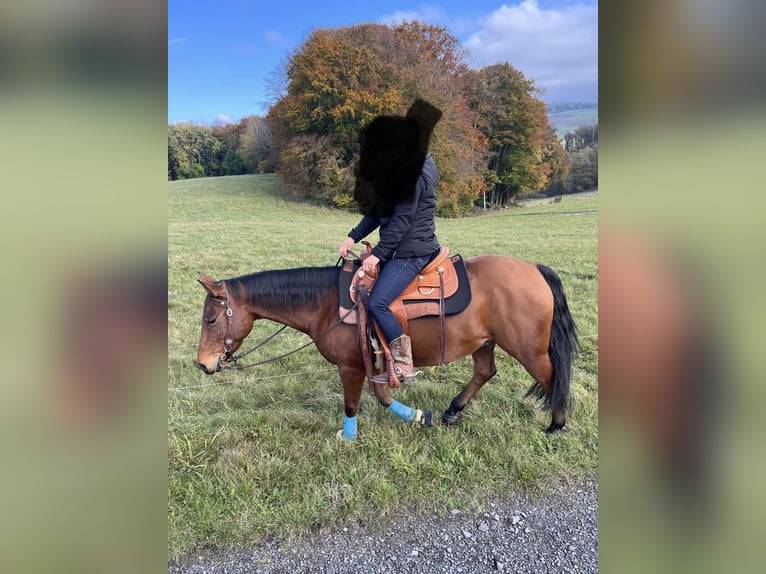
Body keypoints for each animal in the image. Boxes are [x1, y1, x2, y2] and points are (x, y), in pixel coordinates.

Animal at [196, 255, 578, 439]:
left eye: (210, 320)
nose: (202, 364)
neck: (325, 302)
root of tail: (534, 269)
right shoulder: (374, 362)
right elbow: (383, 397)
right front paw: (420, 417)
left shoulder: (350, 366)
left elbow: (352, 405)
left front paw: (348, 439)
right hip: (484, 342)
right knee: (486, 371)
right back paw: (452, 410)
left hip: (527, 348)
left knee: (551, 377)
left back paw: (556, 425)